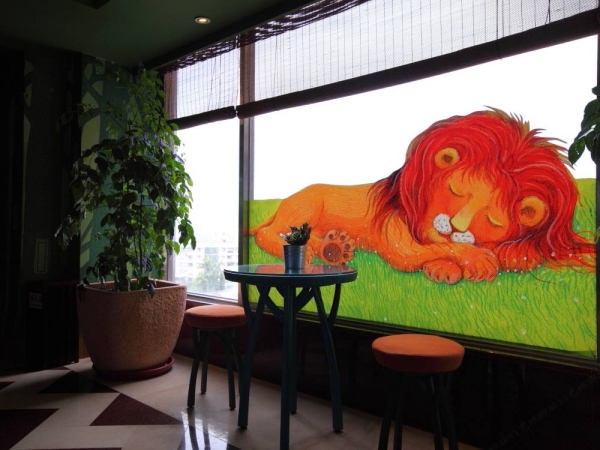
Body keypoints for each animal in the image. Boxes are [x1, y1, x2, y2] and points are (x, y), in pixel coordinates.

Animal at [250, 109, 596, 284]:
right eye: (456, 191)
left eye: (491, 219)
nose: (456, 226)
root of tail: (286, 201)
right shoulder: (398, 242)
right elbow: (426, 250)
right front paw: (477, 260)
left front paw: (452, 266)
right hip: (305, 207)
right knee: (269, 234)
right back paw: (311, 251)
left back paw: (334, 247)